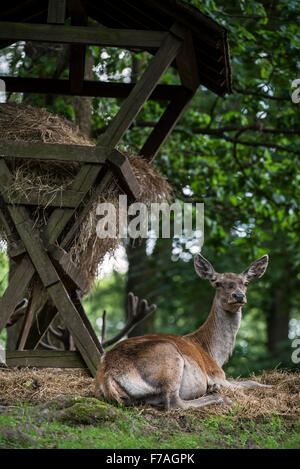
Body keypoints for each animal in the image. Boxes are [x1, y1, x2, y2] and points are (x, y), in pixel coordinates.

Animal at [95, 252, 270, 410]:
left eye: (246, 283)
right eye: (217, 283)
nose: (238, 296)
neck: (215, 354)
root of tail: (107, 374)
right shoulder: (217, 375)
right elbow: (253, 383)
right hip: (169, 358)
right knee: (174, 403)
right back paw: (221, 397)